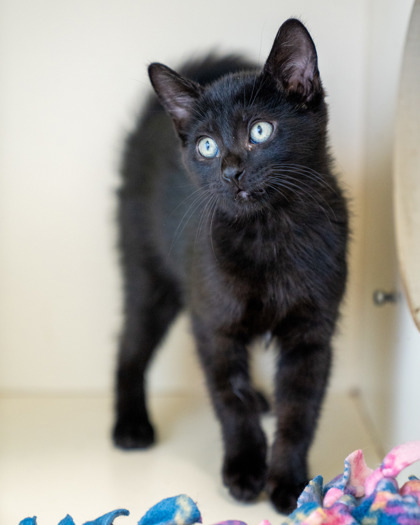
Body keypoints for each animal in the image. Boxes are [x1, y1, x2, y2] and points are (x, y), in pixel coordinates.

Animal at [114, 19, 348, 512]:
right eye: (207, 146)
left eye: (259, 131)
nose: (230, 170)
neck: (269, 233)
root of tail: (151, 121)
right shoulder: (214, 325)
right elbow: (230, 400)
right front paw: (243, 470)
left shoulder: (311, 335)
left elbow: (300, 411)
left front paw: (291, 484)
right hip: (148, 274)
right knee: (130, 345)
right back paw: (130, 426)